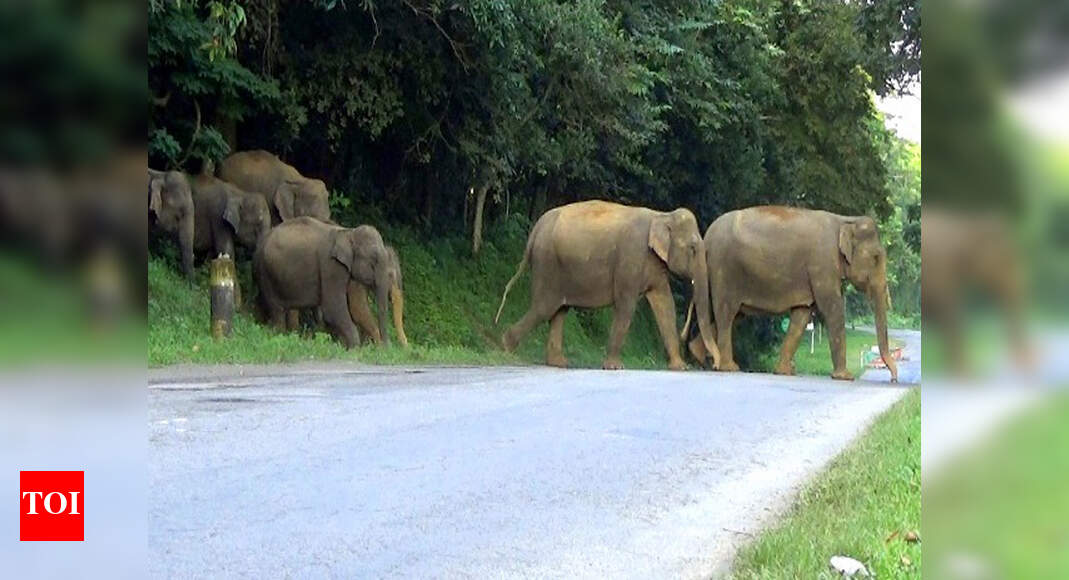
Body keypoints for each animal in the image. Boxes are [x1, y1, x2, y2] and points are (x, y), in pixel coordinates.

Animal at [255, 217, 394, 348]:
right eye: (374, 258)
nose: (385, 348)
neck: (348, 232)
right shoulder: (331, 266)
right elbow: (333, 308)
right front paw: (354, 349)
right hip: (265, 271)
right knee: (276, 309)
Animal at [495, 200, 720, 370]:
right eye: (693, 248)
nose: (715, 365)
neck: (662, 215)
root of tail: (536, 229)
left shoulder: (655, 265)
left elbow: (665, 305)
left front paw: (679, 367)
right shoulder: (631, 256)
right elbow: (626, 306)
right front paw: (614, 367)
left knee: (559, 309)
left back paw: (558, 363)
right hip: (547, 264)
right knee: (545, 307)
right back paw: (506, 345)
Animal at [687, 206, 898, 382]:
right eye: (876, 258)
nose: (894, 378)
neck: (846, 220)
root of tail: (706, 238)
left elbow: (802, 316)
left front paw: (784, 372)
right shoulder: (822, 263)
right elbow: (832, 309)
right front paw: (845, 377)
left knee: (733, 314)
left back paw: (699, 356)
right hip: (724, 270)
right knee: (726, 315)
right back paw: (729, 367)